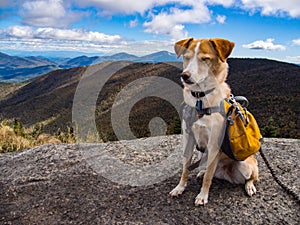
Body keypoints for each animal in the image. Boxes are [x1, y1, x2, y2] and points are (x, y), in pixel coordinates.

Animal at [170, 37, 258, 207]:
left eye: (205, 59)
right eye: (187, 57)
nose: (185, 75)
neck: (200, 100)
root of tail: (226, 173)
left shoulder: (214, 144)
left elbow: (208, 178)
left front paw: (202, 196)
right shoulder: (188, 139)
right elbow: (185, 168)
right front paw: (180, 187)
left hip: (246, 164)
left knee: (253, 176)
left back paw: (250, 186)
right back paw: (202, 171)